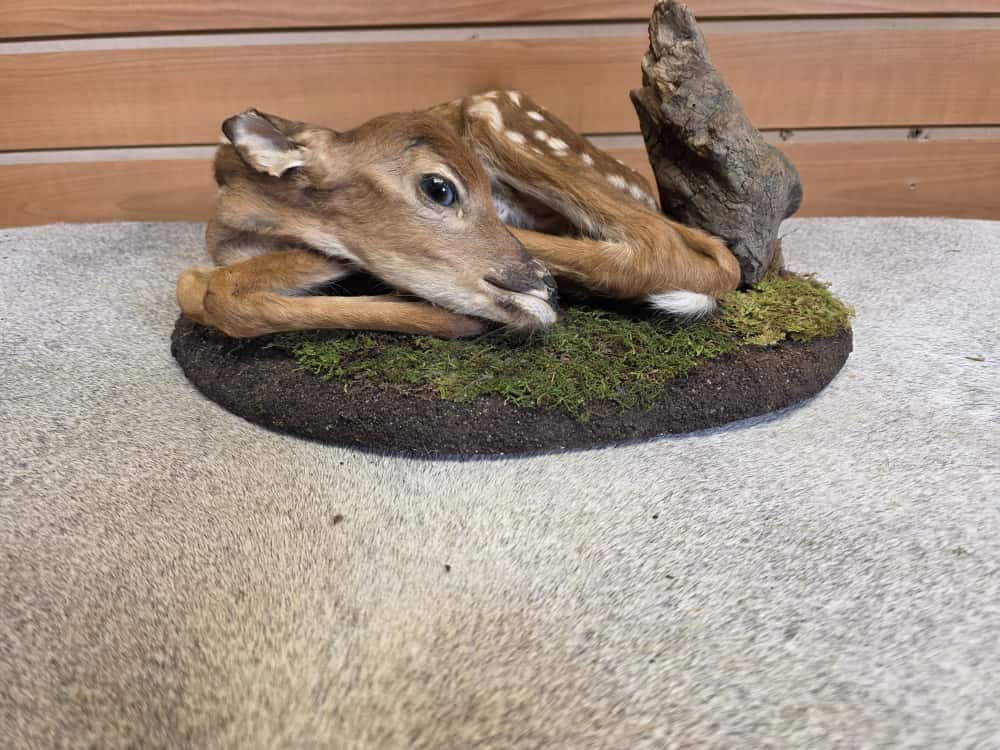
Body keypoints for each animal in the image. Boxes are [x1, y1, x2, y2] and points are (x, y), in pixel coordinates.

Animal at [176, 90, 742, 339]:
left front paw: (450, 316)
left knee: (673, 249)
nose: (543, 287)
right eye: (439, 188)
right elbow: (197, 287)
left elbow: (215, 293)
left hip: (494, 114)